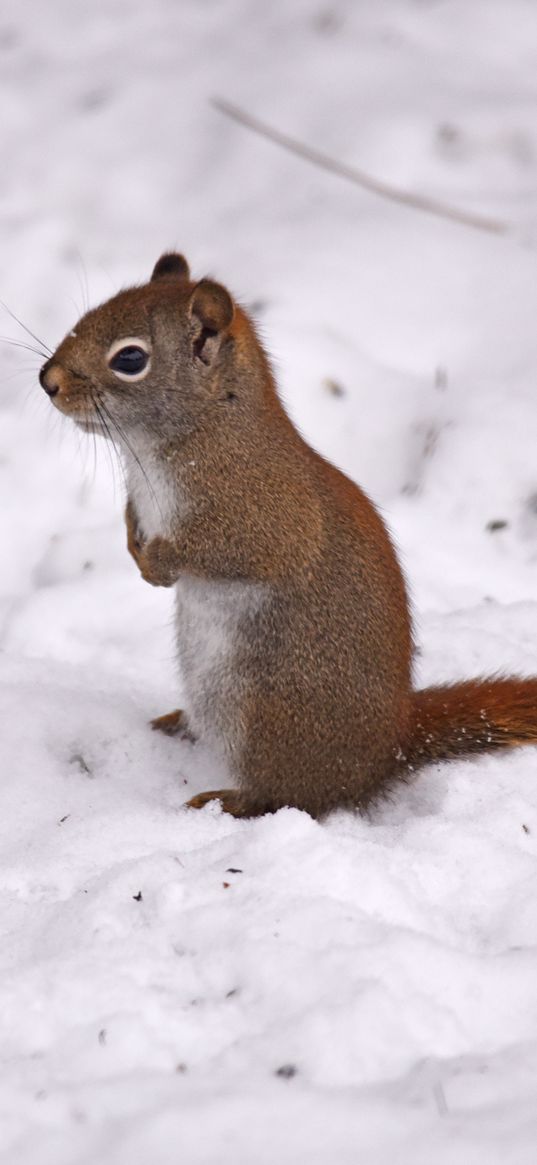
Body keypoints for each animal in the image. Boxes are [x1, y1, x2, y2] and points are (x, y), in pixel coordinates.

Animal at [39, 252, 535, 820]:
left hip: (266, 715)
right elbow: (130, 522)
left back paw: (228, 799)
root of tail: (388, 751)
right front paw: (137, 555)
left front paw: (160, 563)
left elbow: (227, 551)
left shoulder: (267, 517)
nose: (47, 380)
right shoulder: (139, 501)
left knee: (290, 795)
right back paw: (178, 725)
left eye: (129, 359)